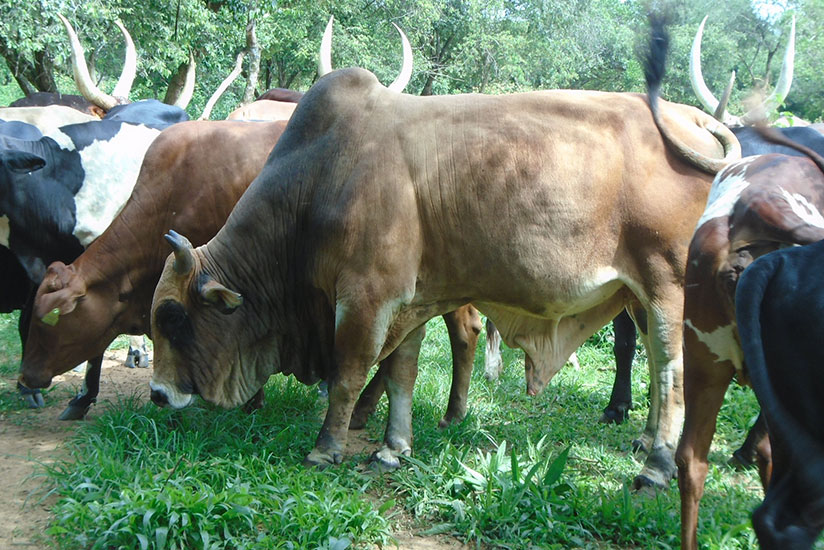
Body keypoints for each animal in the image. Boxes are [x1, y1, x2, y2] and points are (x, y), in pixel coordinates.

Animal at [143, 19, 740, 490]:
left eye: (173, 317)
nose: (157, 394)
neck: (322, 175)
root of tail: (693, 119)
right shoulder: (408, 301)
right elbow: (401, 373)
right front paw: (392, 449)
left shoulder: (366, 297)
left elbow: (349, 373)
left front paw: (325, 448)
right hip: (637, 293)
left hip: (666, 286)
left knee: (671, 369)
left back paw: (657, 466)